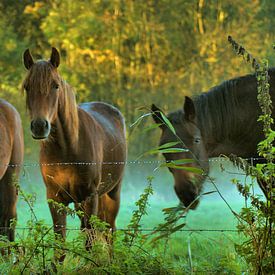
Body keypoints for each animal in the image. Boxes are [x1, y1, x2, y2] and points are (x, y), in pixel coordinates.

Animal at [22, 48, 128, 246]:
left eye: (55, 86)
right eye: (27, 87)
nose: (39, 126)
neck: (66, 150)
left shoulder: (90, 198)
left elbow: (90, 241)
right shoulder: (55, 199)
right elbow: (60, 242)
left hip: (112, 194)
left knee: (109, 231)